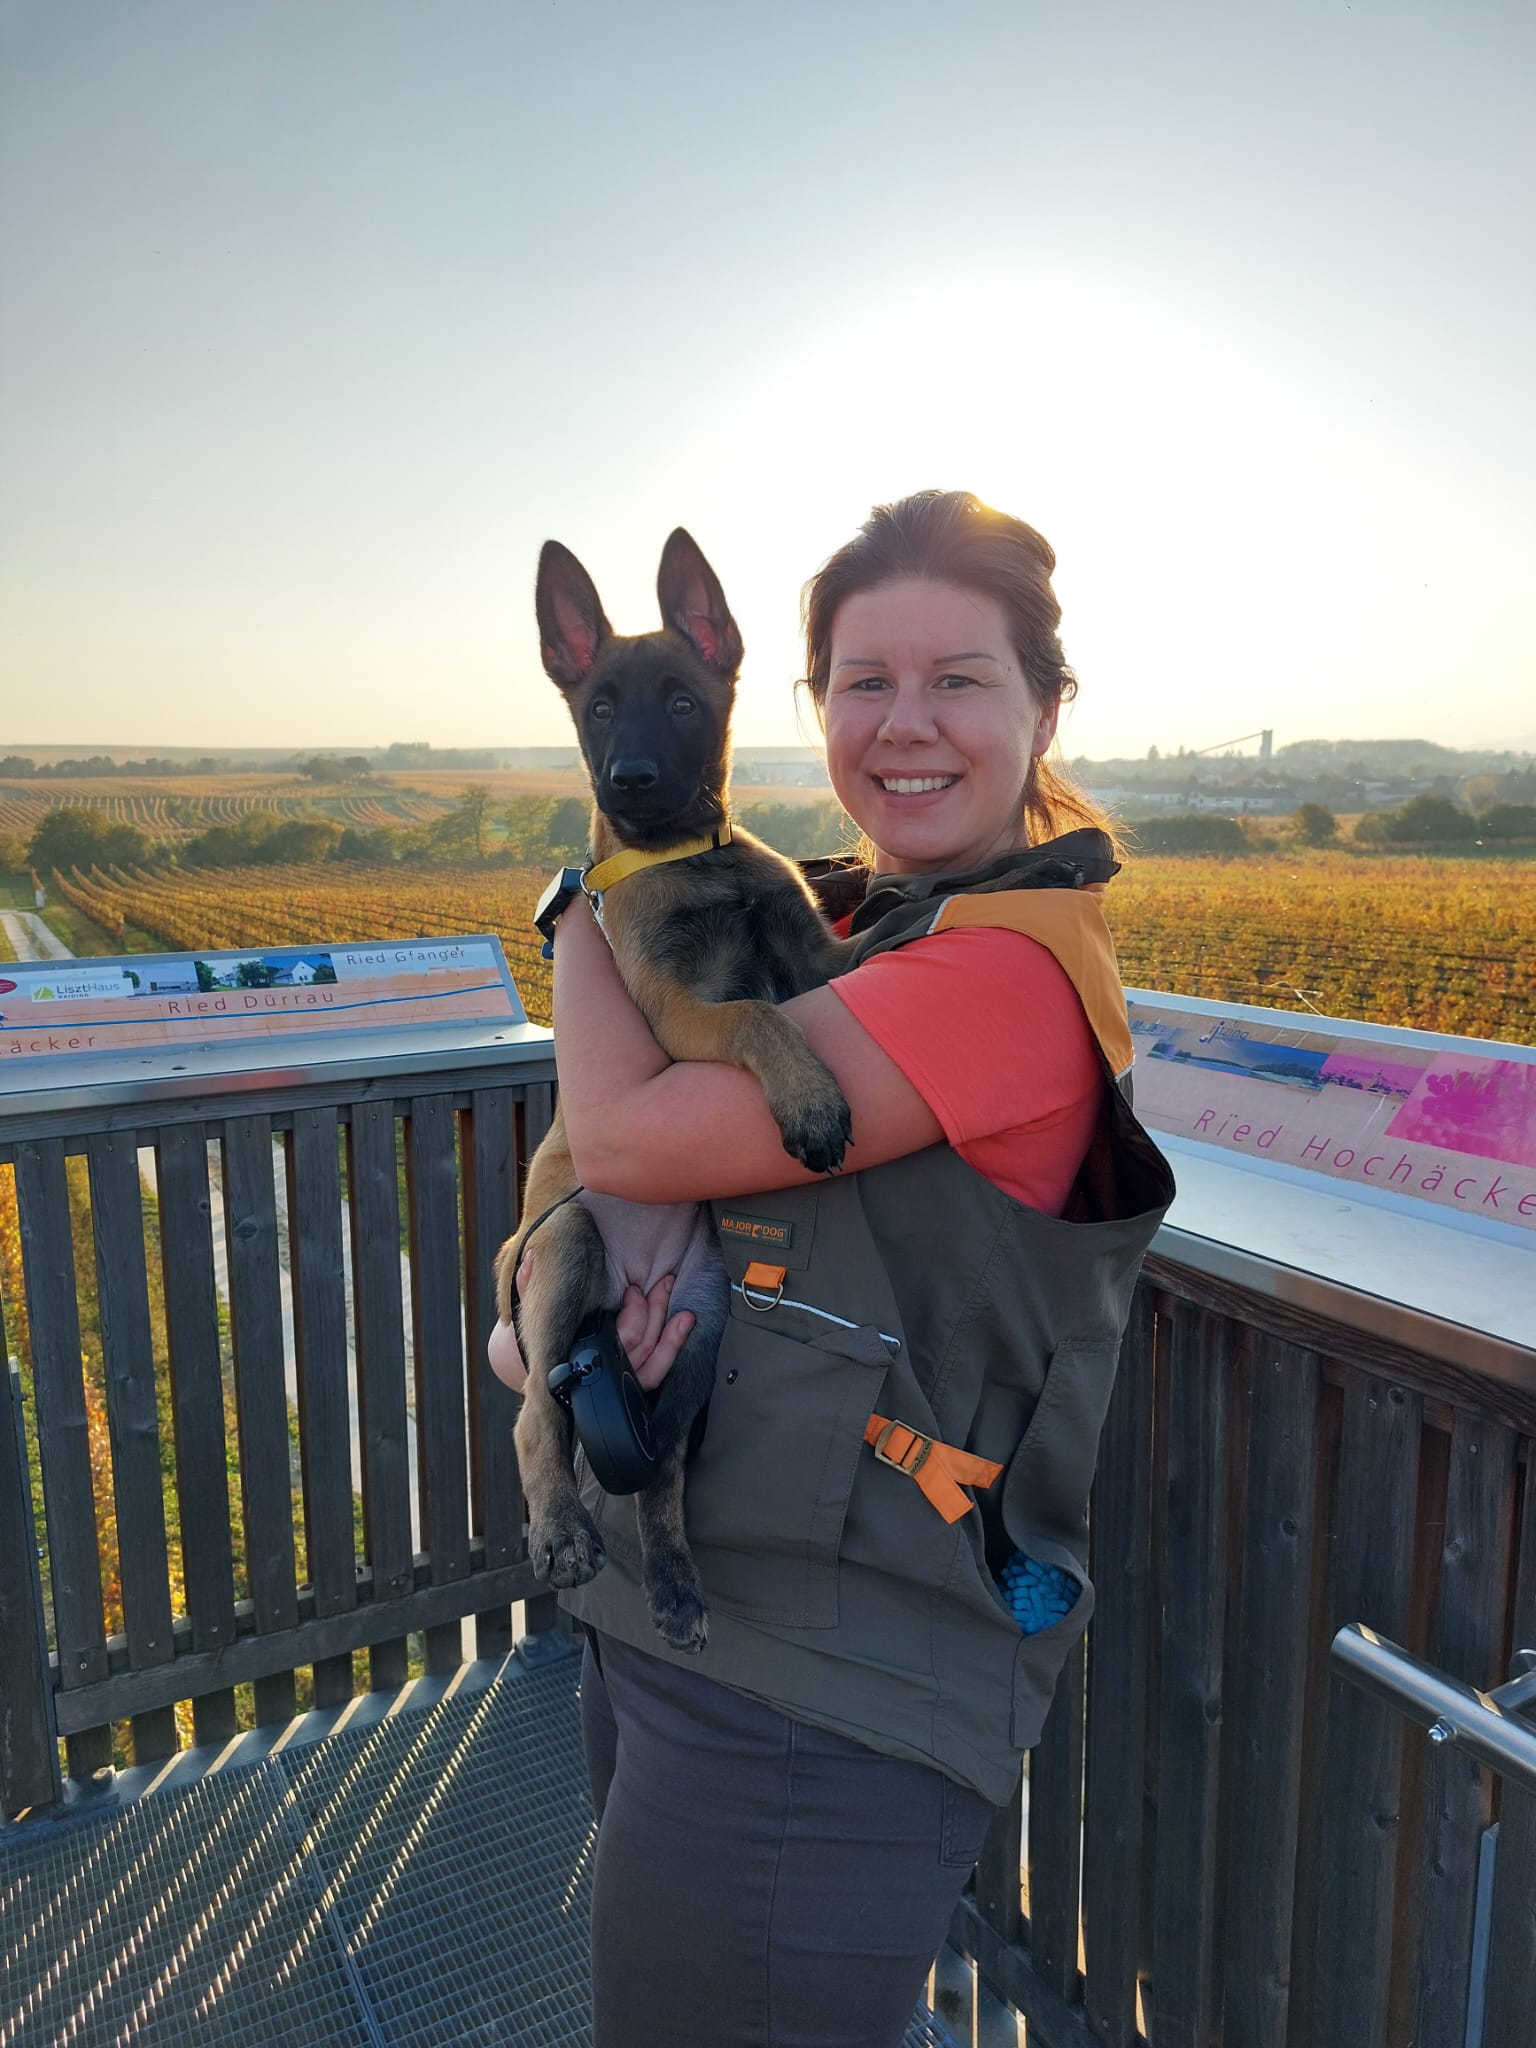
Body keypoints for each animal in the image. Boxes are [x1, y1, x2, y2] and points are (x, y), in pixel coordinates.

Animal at [495, 529, 851, 1653]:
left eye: (684, 701)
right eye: (599, 705)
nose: (632, 779)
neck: (695, 859)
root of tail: (627, 1296)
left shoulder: (818, 958)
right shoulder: (676, 1016)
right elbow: (753, 1018)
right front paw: (812, 1102)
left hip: (701, 1336)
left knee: (663, 1482)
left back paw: (677, 1586)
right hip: (564, 1247)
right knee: (534, 1415)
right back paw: (561, 1531)